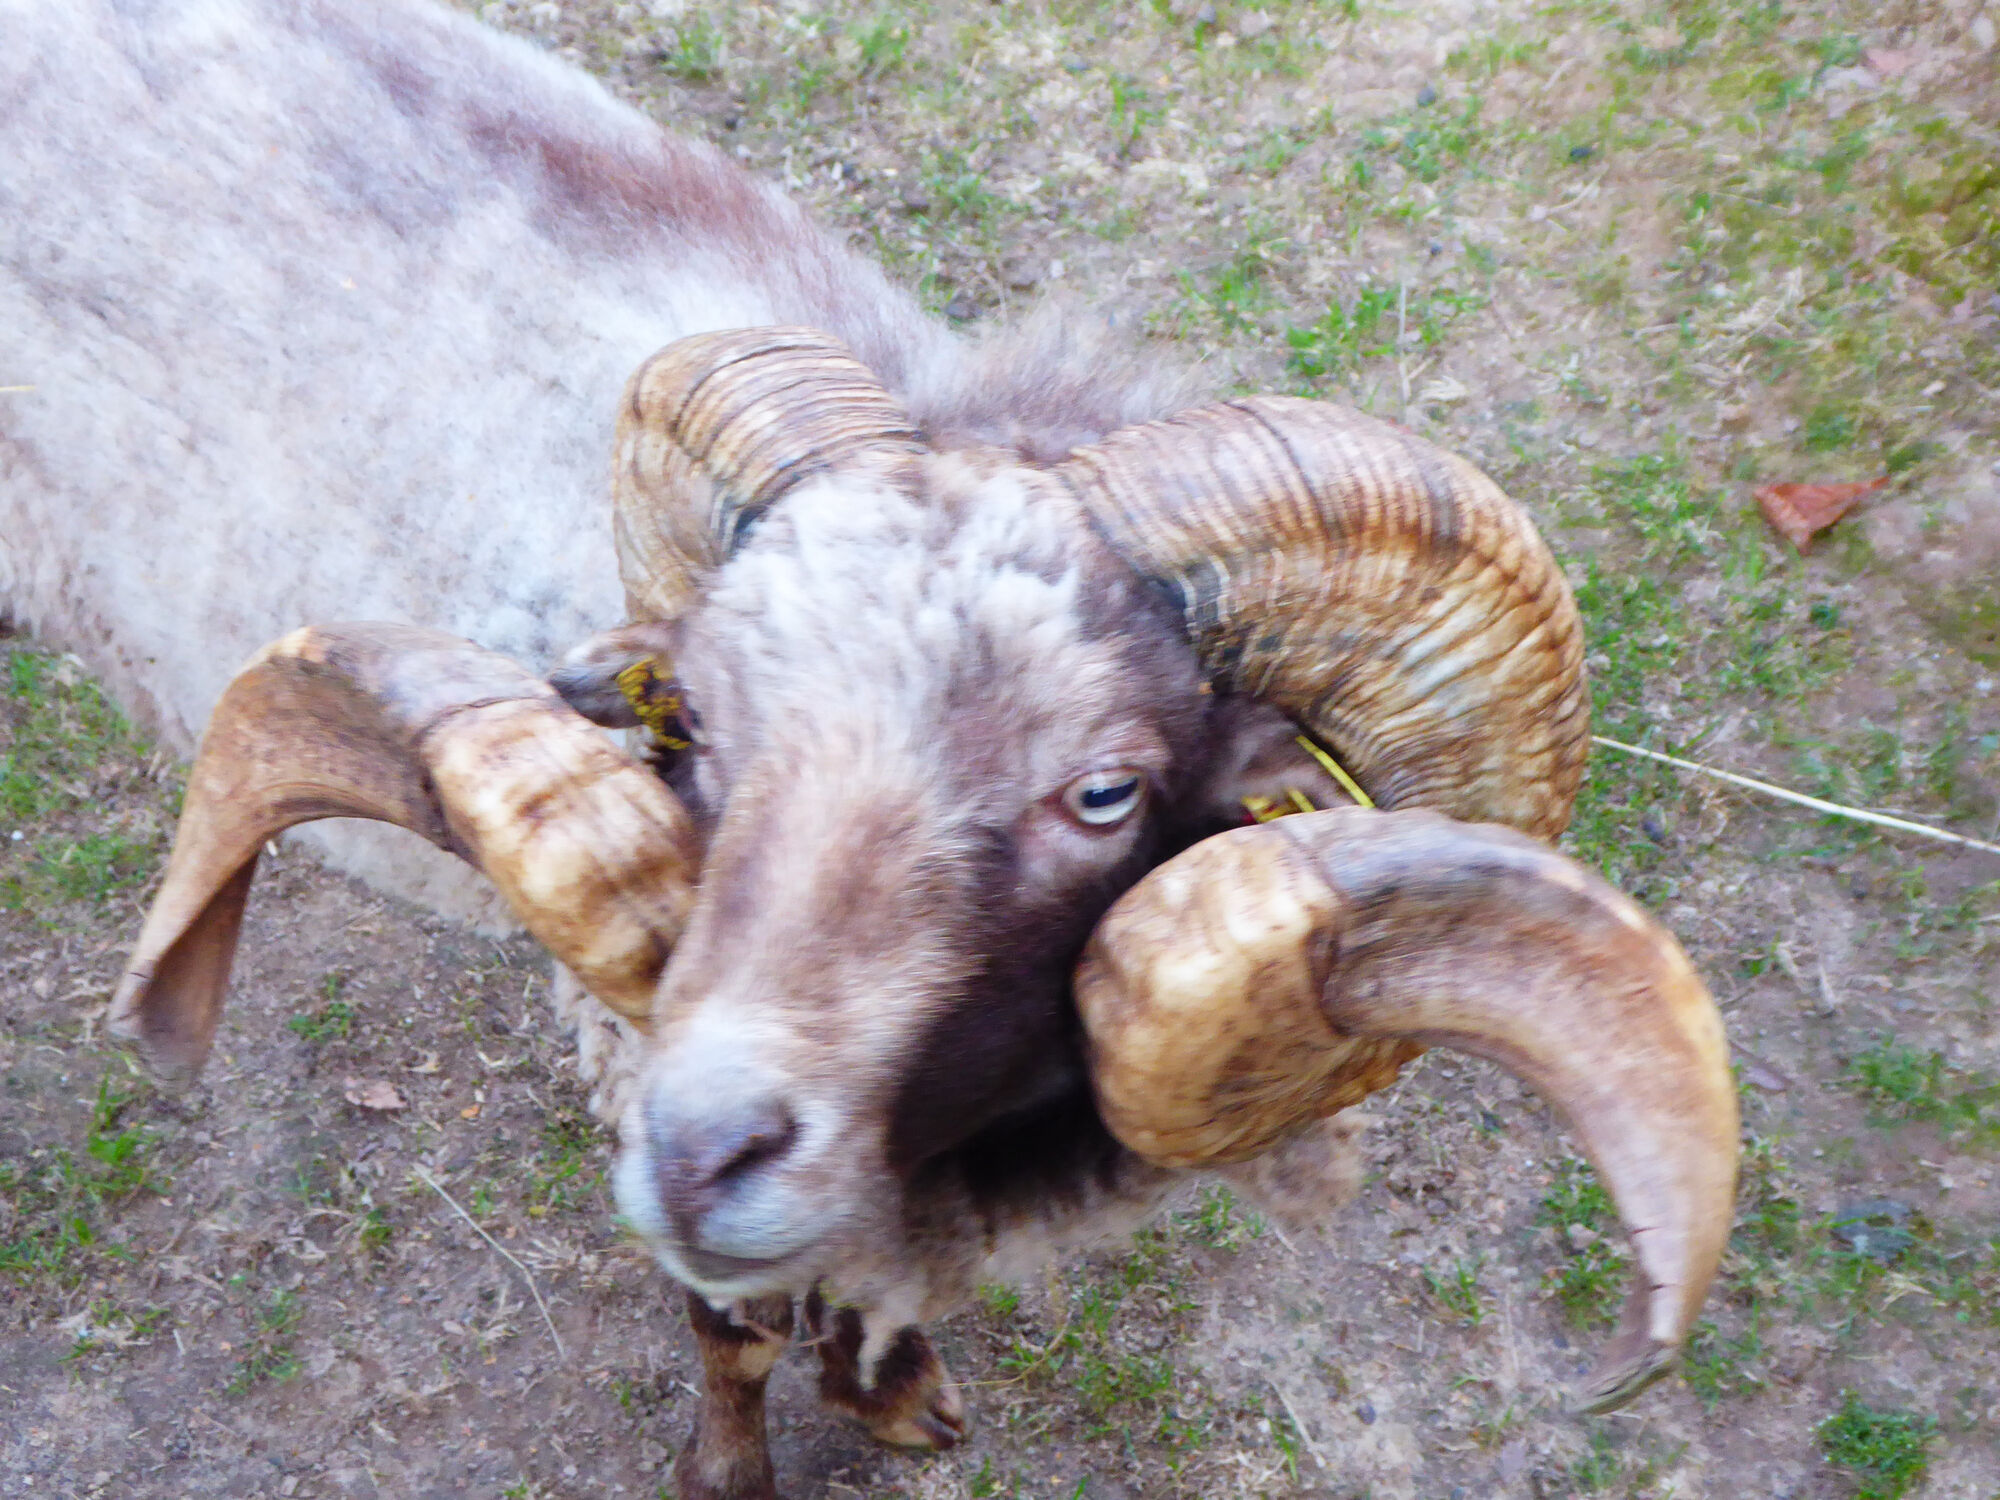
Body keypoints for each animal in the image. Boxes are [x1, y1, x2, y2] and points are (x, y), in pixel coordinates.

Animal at [4, 4, 1740, 1498]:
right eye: (695, 724)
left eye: (1103, 789)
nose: (699, 1150)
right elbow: (732, 1329)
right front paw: (738, 1467)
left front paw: (893, 1395)